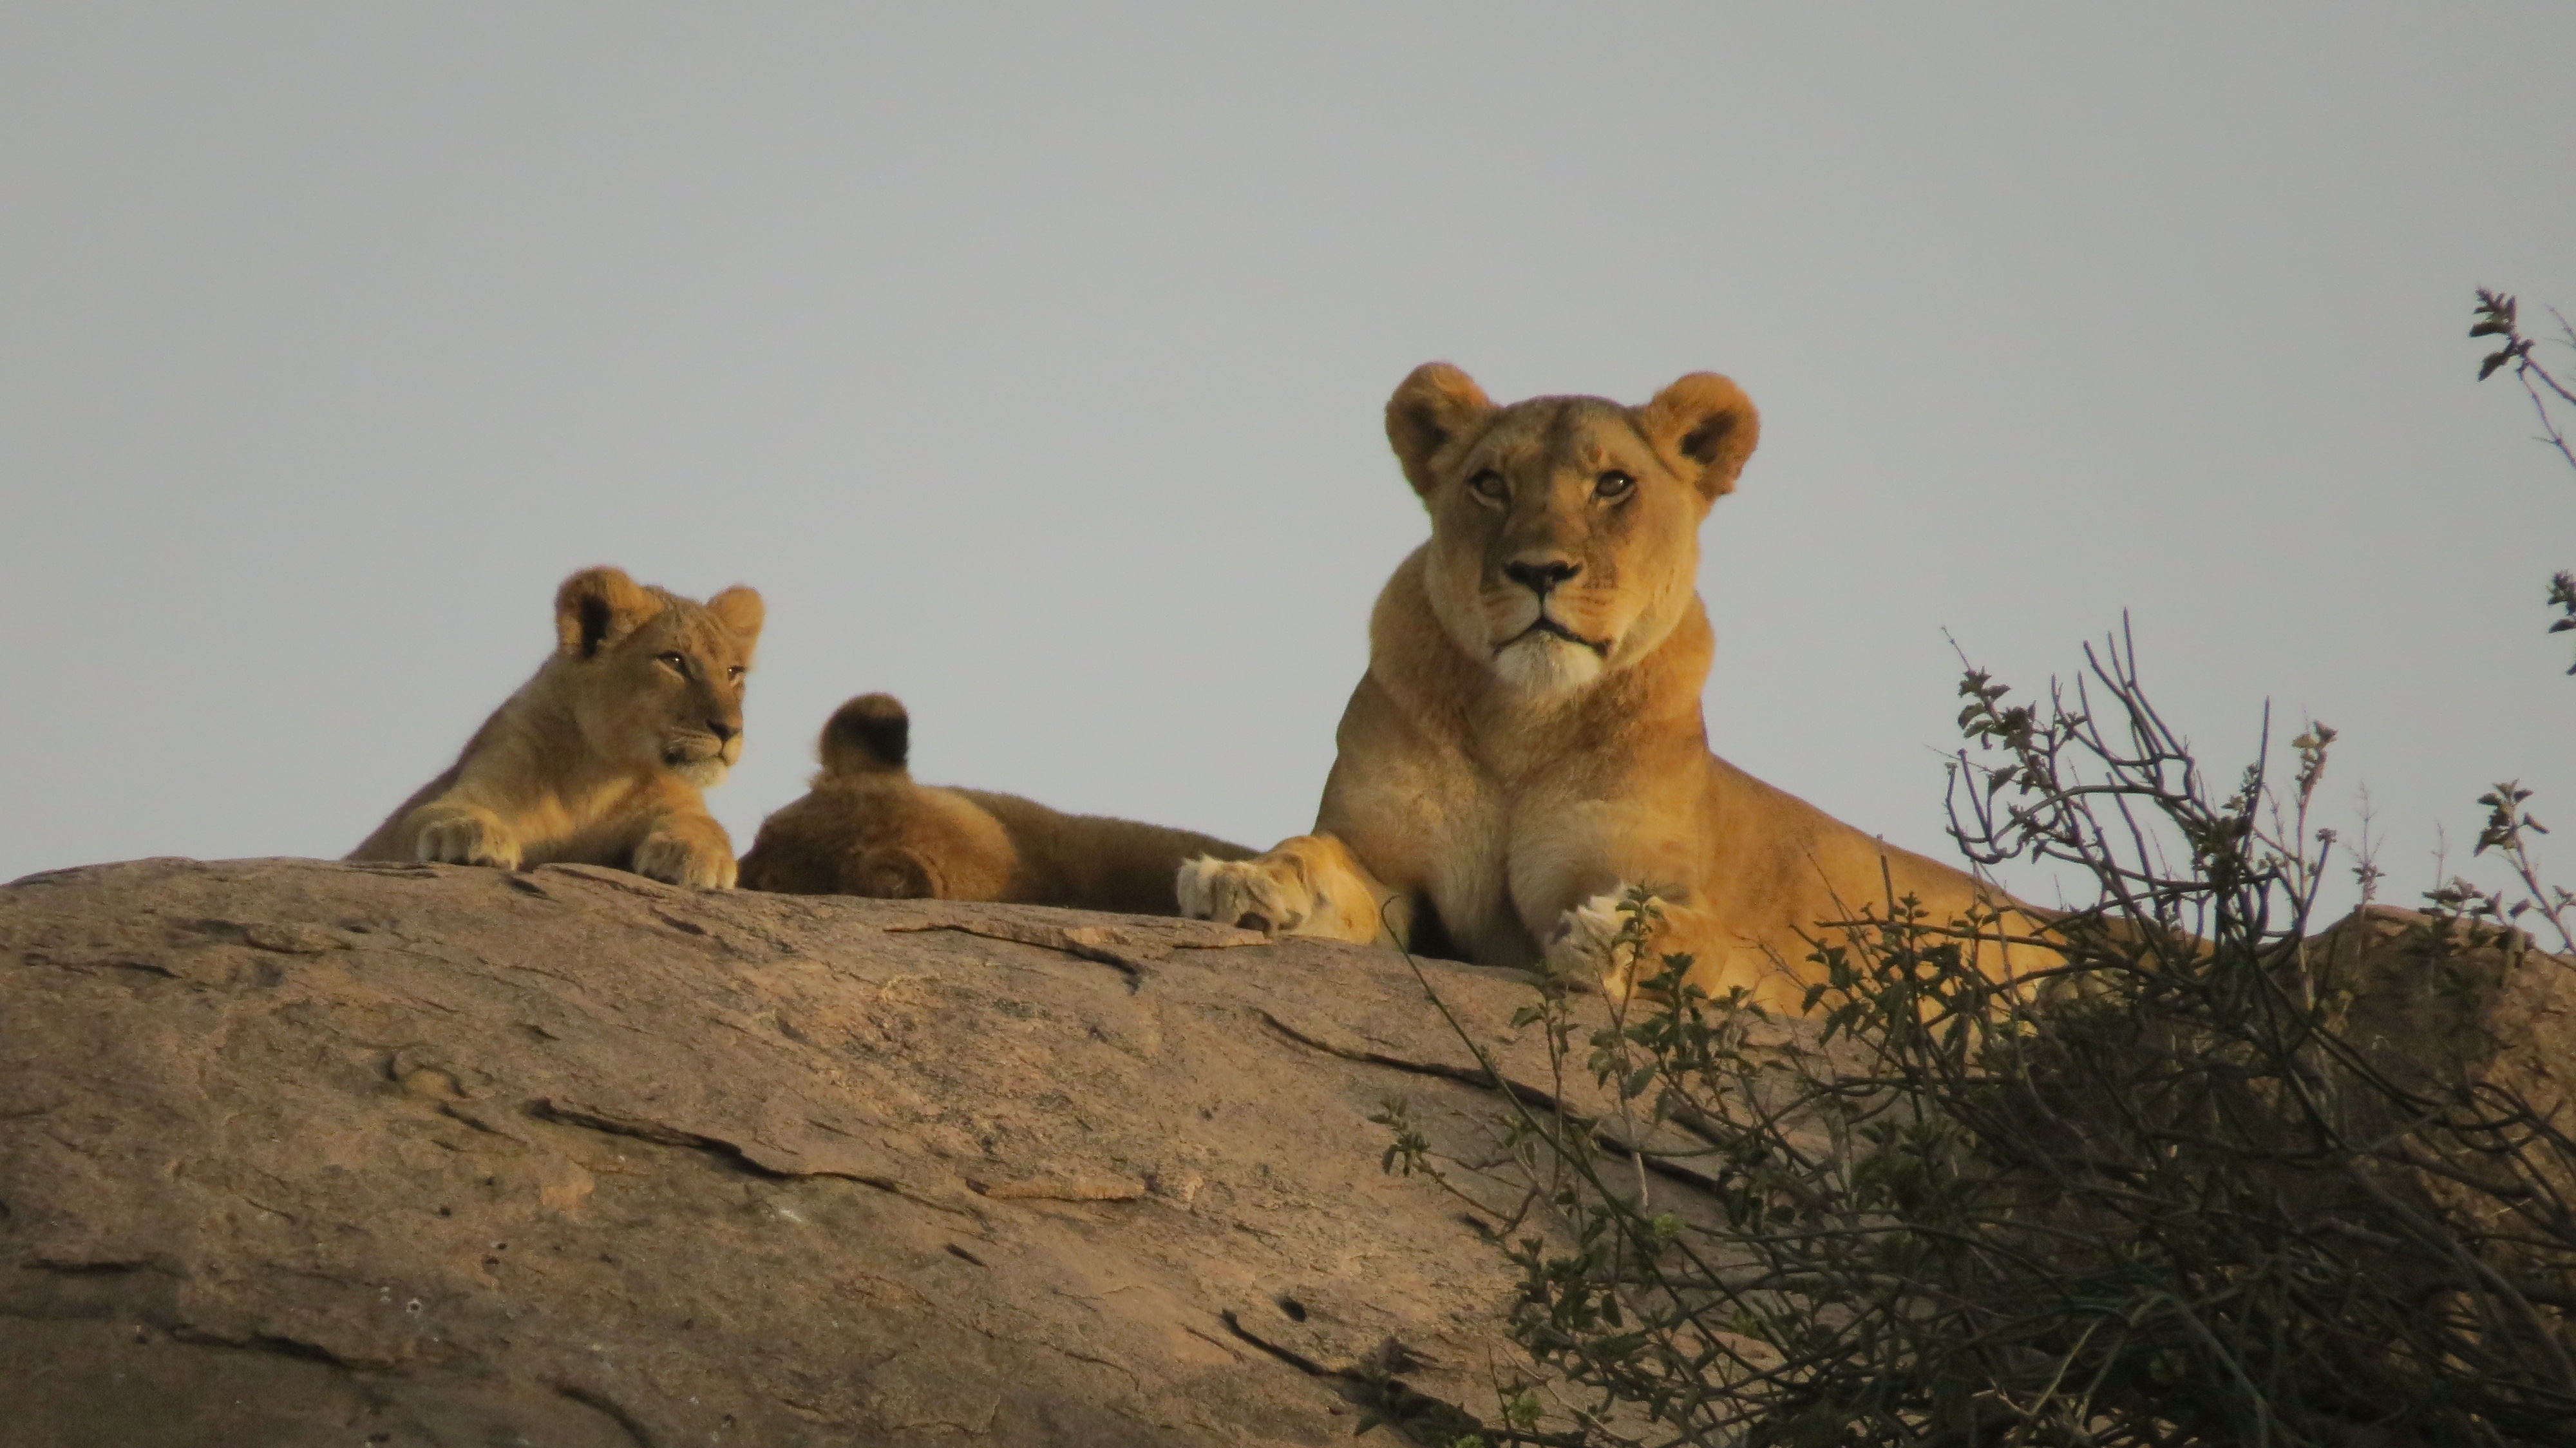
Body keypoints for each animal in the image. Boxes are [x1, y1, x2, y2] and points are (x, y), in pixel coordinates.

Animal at [348, 566, 764, 889]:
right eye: (674, 661)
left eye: (733, 672)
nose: (730, 730)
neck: (597, 778)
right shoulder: (473, 783)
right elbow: (432, 814)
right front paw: (470, 834)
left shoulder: (680, 801)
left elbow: (707, 827)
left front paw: (694, 856)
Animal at [1177, 364, 2033, 1008]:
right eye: (1490, 484)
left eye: (1614, 484)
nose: (1539, 570)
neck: (1523, 721)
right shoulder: (1386, 866)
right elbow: (1313, 855)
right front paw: (1242, 881)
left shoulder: (1675, 892)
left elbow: (1692, 932)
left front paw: (1602, 939)